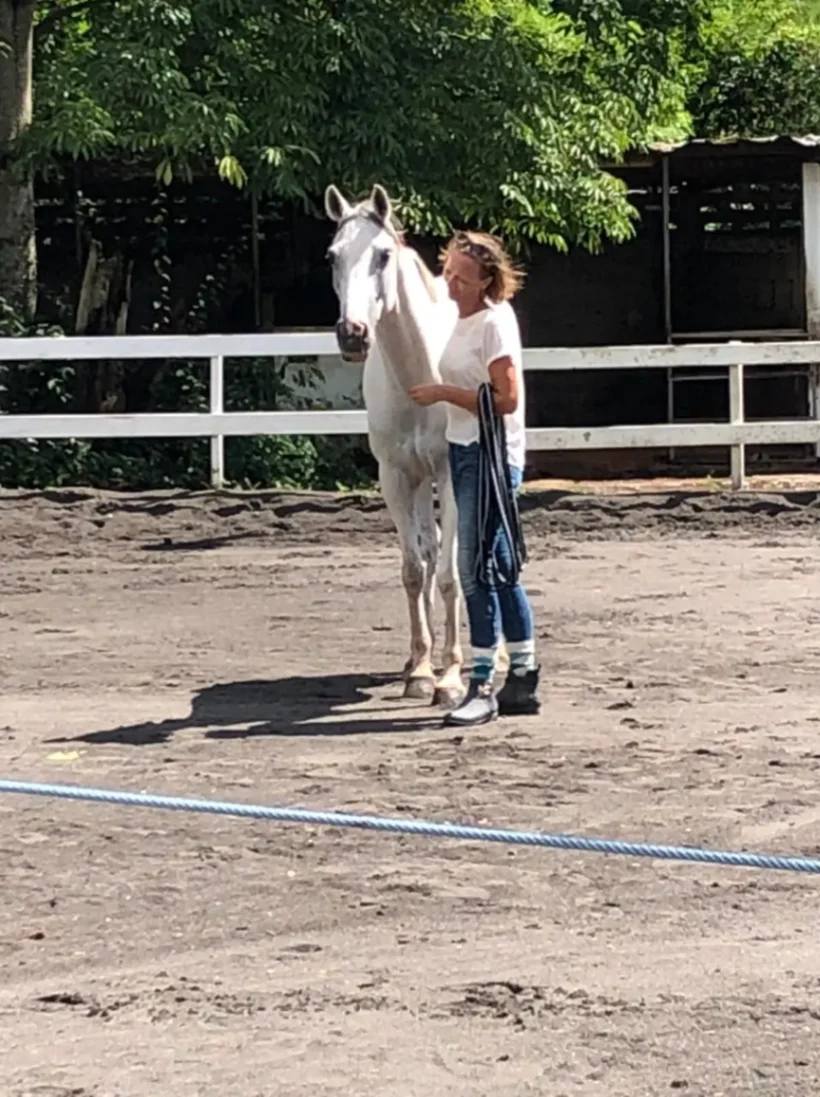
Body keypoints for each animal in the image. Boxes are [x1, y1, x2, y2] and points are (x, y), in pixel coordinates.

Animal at [323, 182, 466, 709]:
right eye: (332, 256)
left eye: (383, 255)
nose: (352, 334)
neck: (420, 375)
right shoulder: (395, 477)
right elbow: (413, 569)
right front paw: (423, 669)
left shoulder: (452, 473)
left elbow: (449, 574)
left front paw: (452, 678)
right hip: (419, 483)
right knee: (429, 546)